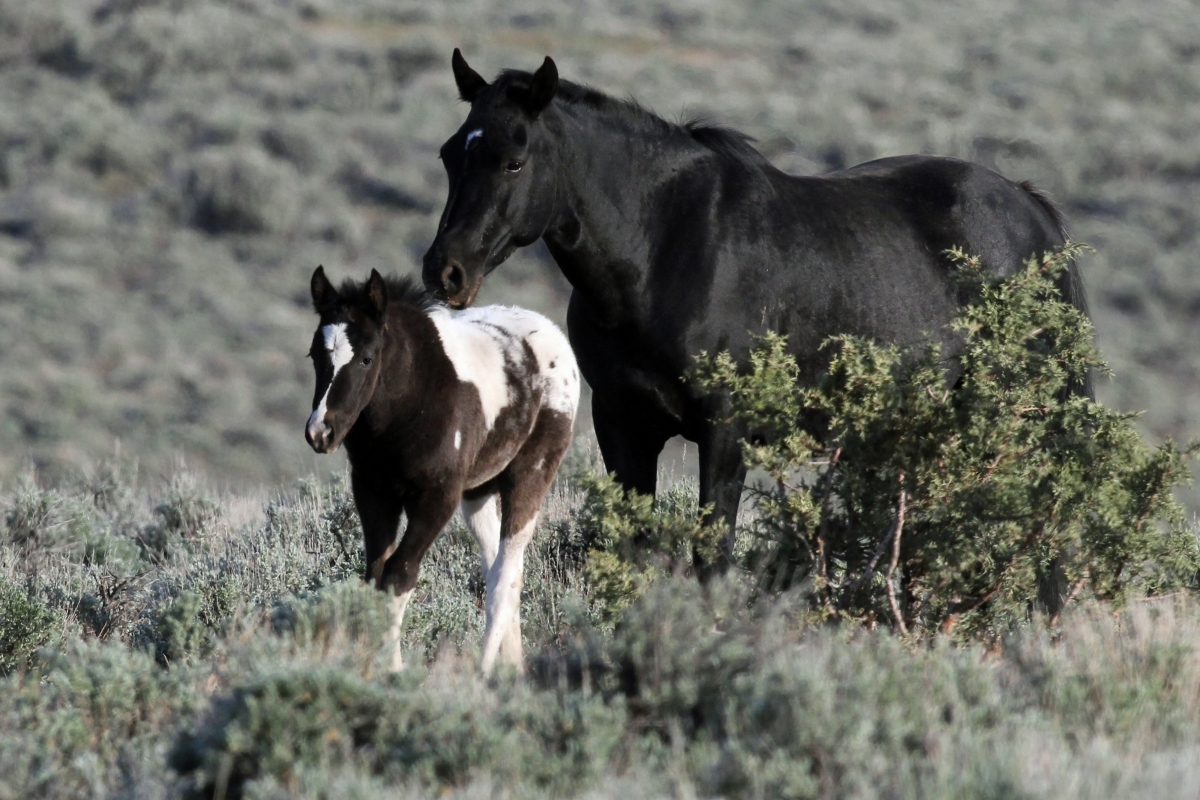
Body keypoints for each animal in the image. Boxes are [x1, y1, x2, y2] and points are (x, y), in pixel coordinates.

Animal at [302, 268, 578, 676]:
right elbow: (375, 573)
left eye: (367, 358)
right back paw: (510, 669)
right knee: (495, 566)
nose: (321, 432)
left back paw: (484, 672)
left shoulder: (437, 498)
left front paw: (392, 670)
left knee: (507, 575)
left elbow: (400, 573)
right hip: (478, 494)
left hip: (531, 474)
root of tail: (551, 333)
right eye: (315, 355)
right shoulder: (372, 492)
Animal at [422, 50, 1089, 573]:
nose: (445, 271)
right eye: (451, 154)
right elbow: (634, 551)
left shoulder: (726, 433)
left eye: (515, 159)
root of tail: (1030, 210)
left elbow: (710, 556)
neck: (663, 247)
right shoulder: (624, 427)